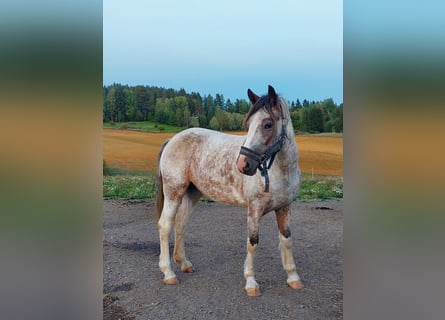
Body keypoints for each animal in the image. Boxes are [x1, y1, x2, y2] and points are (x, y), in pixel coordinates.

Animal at [155, 85, 302, 298]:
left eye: (267, 124)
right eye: (249, 124)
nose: (243, 164)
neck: (280, 170)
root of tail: (173, 139)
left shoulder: (284, 207)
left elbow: (287, 240)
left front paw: (293, 277)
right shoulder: (254, 209)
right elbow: (252, 243)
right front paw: (250, 282)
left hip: (192, 193)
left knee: (180, 224)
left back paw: (184, 263)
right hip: (173, 192)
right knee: (165, 225)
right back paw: (168, 273)